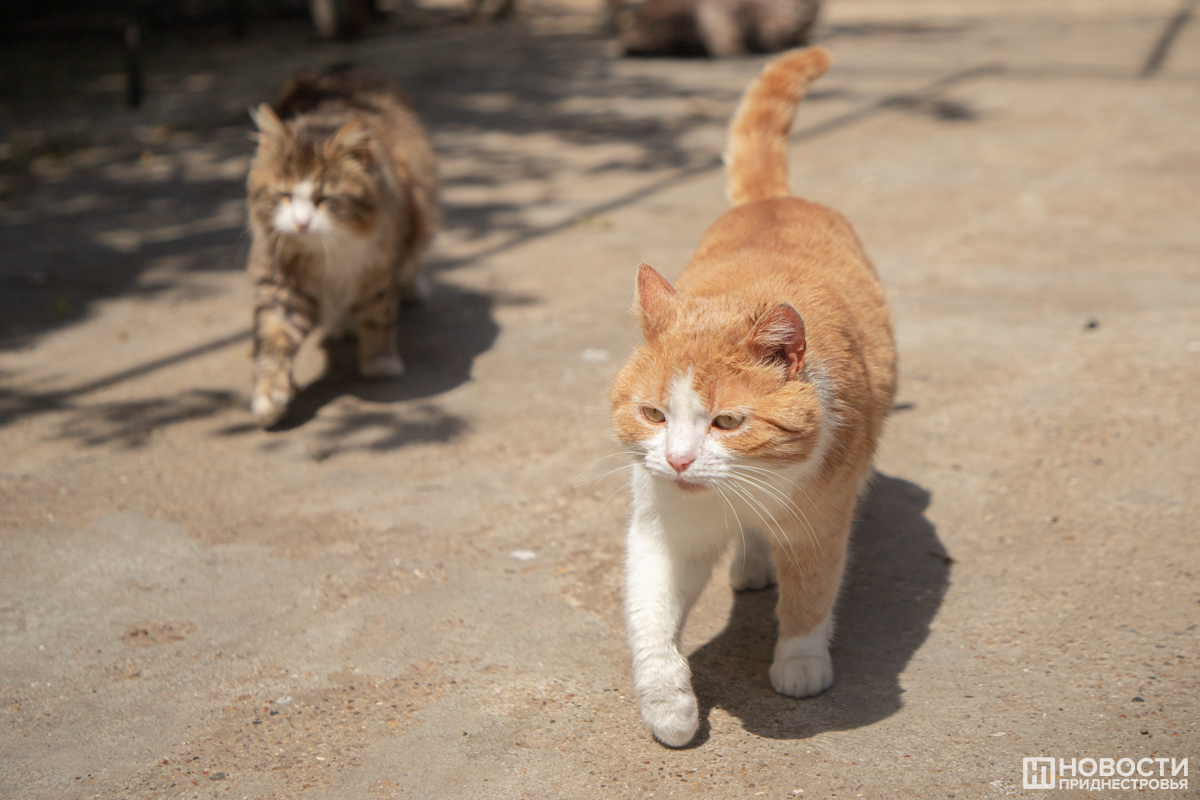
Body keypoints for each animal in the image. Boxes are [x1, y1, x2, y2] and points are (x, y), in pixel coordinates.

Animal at [241, 67, 439, 431]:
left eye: (324, 199)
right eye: (284, 196)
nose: (301, 223)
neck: (326, 252)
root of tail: (340, 76)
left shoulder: (378, 266)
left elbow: (378, 314)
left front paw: (380, 361)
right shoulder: (280, 280)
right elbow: (274, 340)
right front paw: (269, 398)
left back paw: (411, 290)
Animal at [614, 48, 897, 753]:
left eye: (728, 422)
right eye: (653, 414)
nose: (680, 461)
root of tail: (773, 201)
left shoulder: (822, 521)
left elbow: (811, 596)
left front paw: (799, 664)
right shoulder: (664, 531)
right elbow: (649, 621)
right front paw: (669, 708)